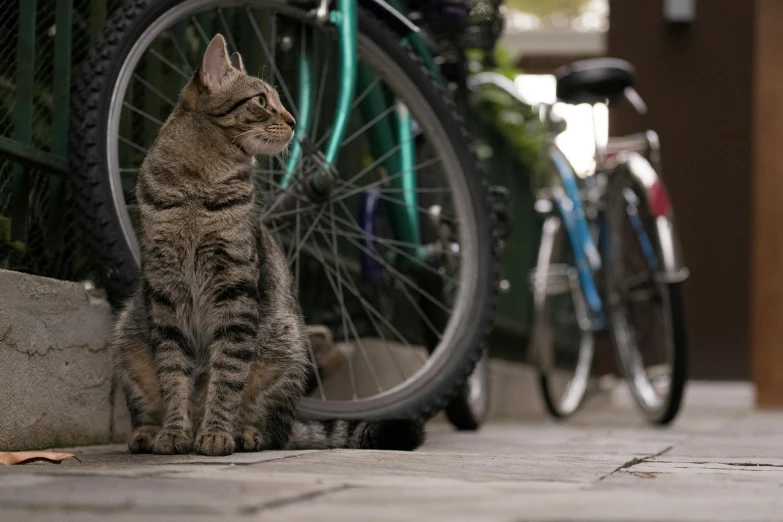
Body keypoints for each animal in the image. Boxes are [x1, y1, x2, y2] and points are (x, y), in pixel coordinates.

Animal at [112, 34, 422, 452]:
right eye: (261, 100)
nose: (293, 121)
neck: (198, 188)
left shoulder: (236, 293)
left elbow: (226, 377)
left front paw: (215, 433)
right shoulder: (165, 296)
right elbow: (174, 375)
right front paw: (174, 433)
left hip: (285, 347)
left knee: (275, 429)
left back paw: (245, 434)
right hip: (128, 335)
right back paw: (148, 433)